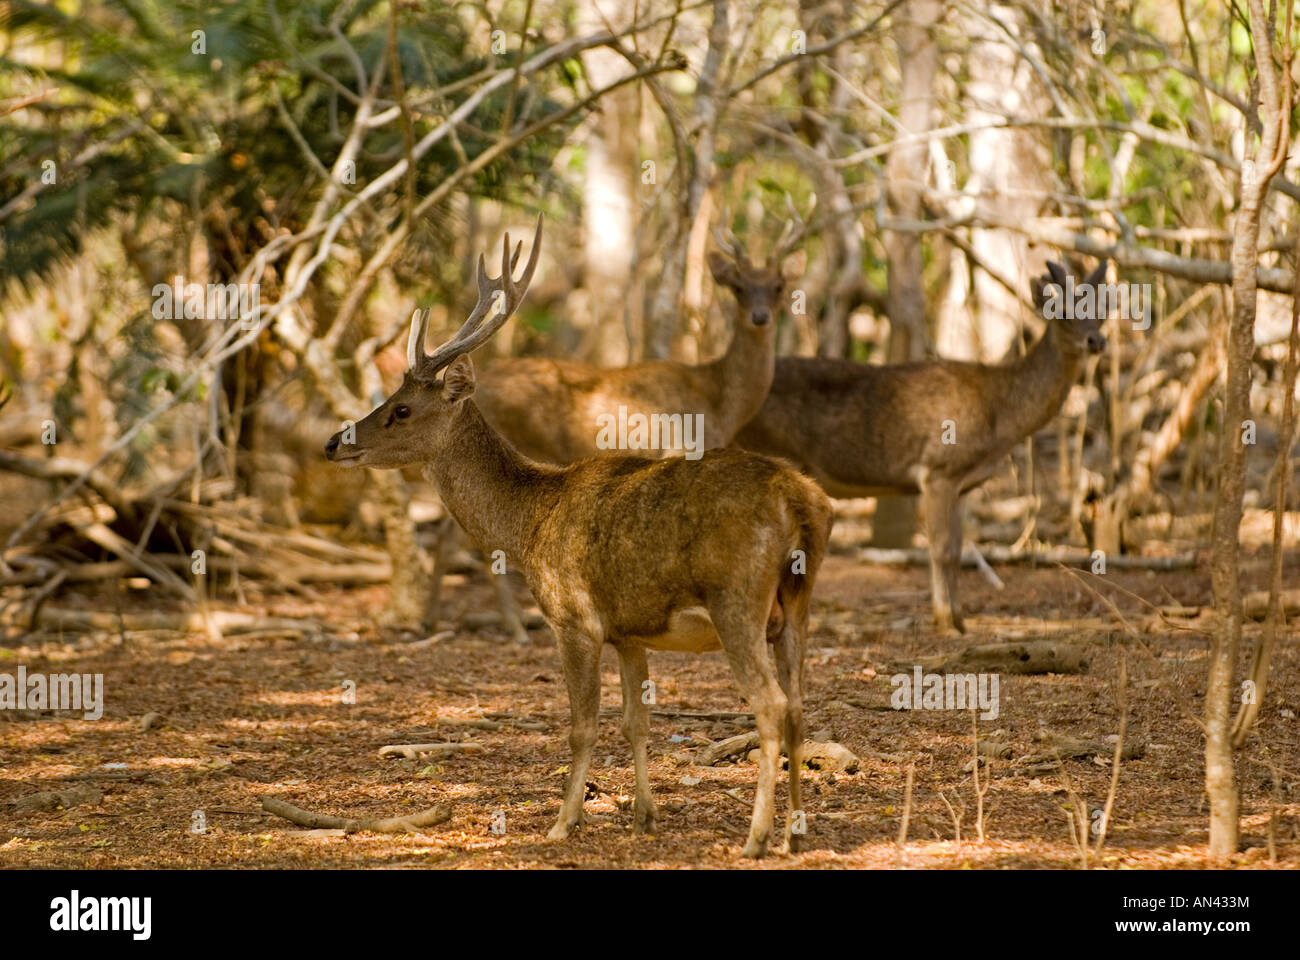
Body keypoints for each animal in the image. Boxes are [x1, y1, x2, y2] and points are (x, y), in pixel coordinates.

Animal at [325, 218, 832, 858]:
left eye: (401, 409)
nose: (333, 442)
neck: (528, 524)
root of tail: (800, 501)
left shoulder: (574, 616)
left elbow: (581, 726)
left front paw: (563, 822)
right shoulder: (630, 631)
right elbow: (635, 721)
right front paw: (643, 817)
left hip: (736, 597)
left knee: (770, 705)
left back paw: (756, 837)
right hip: (797, 603)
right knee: (799, 705)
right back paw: (794, 830)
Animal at [738, 261, 1102, 632]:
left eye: (1100, 311)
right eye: (1062, 312)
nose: (1096, 341)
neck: (999, 415)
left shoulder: (963, 484)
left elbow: (956, 549)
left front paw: (960, 620)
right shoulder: (938, 469)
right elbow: (940, 549)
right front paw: (945, 622)